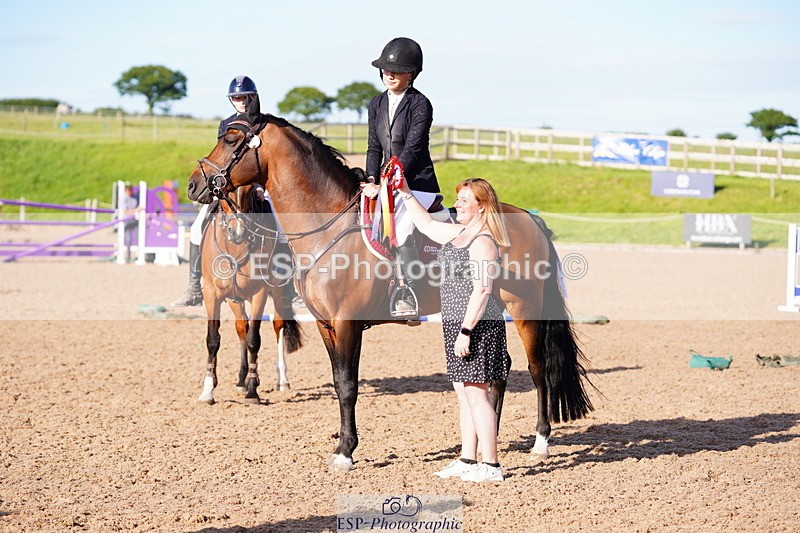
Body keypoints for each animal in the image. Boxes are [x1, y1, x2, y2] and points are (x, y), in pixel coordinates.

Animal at [197, 184, 303, 405]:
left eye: (248, 191)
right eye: (223, 193)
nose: (237, 232)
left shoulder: (259, 293)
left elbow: (254, 339)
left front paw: (253, 390)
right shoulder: (212, 295)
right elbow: (213, 339)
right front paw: (208, 390)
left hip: (278, 291)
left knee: (278, 325)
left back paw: (282, 379)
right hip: (234, 300)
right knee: (241, 327)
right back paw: (241, 379)